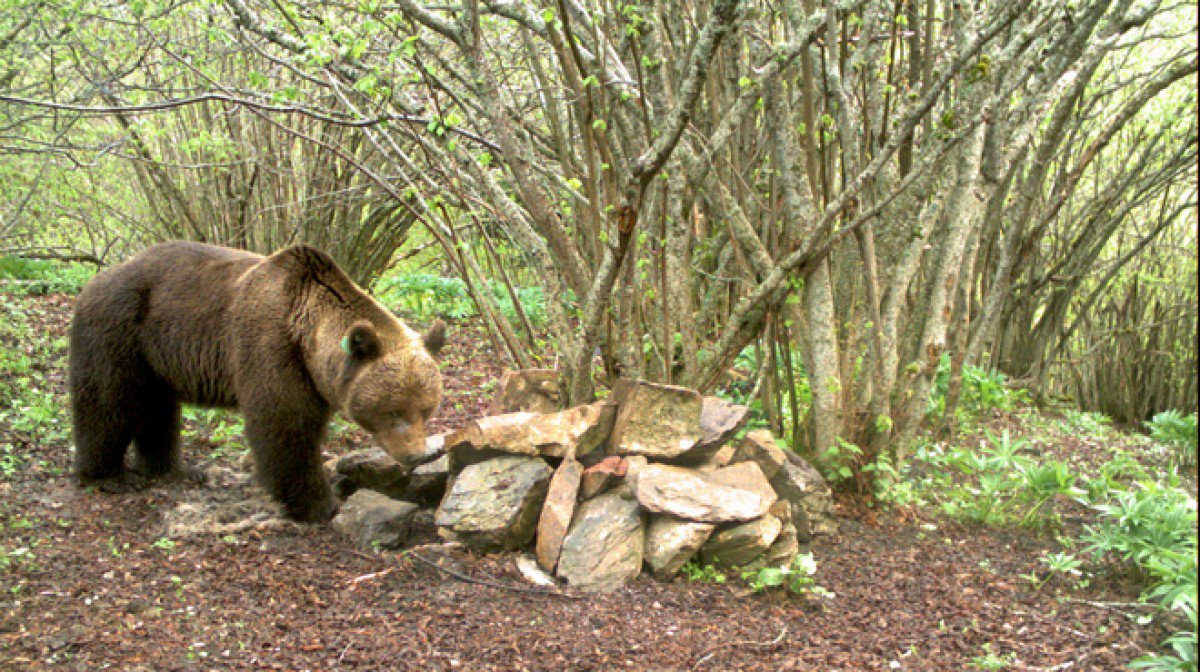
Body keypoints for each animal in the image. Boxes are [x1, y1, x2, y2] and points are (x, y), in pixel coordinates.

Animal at [68, 241, 445, 522]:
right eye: (393, 411)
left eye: (426, 410)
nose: (415, 455)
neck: (307, 338)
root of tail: (97, 278)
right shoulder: (271, 348)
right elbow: (284, 425)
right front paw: (318, 504)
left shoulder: (313, 379)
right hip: (121, 330)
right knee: (110, 402)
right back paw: (108, 475)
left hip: (156, 356)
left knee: (158, 409)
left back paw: (173, 469)